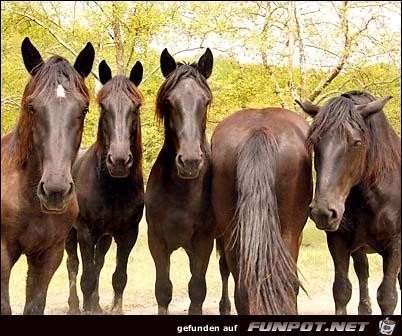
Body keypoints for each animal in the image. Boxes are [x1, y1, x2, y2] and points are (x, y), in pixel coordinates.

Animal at [0, 38, 94, 314]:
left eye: (84, 109)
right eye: (32, 106)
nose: (55, 191)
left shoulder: (49, 255)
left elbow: (34, 305)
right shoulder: (2, 256)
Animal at [66, 59, 146, 314]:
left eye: (136, 107)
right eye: (102, 106)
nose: (119, 160)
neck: (113, 188)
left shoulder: (128, 234)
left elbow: (118, 276)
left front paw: (112, 308)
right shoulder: (85, 232)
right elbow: (86, 276)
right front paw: (86, 308)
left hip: (105, 237)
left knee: (98, 263)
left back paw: (97, 304)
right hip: (70, 233)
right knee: (73, 265)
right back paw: (74, 306)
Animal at [145, 48, 215, 316]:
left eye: (206, 101)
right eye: (169, 102)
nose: (191, 161)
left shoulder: (203, 242)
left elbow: (197, 289)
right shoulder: (156, 241)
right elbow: (163, 290)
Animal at [296, 90, 400, 316]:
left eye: (357, 142)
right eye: (315, 143)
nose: (323, 212)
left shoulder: (395, 243)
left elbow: (388, 296)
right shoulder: (339, 242)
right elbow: (342, 290)